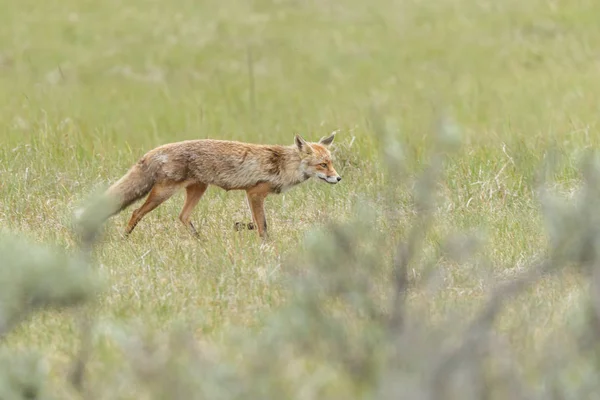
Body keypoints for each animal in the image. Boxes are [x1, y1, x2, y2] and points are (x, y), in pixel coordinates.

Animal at [81, 133, 340, 239]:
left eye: (332, 163)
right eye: (323, 164)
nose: (338, 179)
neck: (283, 164)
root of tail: (153, 151)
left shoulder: (252, 196)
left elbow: (256, 222)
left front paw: (243, 226)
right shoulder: (255, 193)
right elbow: (263, 226)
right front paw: (265, 244)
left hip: (198, 189)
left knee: (183, 217)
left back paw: (200, 241)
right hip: (164, 192)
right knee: (136, 211)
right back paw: (125, 238)